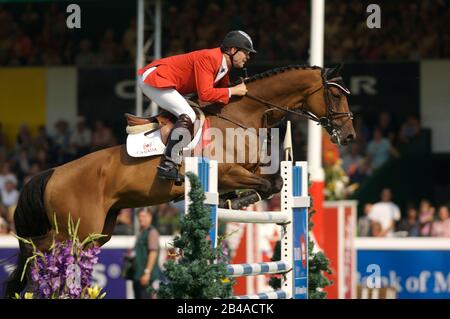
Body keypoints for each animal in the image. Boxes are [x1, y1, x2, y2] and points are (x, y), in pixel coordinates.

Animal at [3, 63, 356, 298]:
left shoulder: (250, 169)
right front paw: (237, 200)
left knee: (38, 254)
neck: (243, 116)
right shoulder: (226, 171)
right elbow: (267, 186)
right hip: (76, 232)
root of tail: (52, 173)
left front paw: (234, 201)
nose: (349, 136)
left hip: (94, 232)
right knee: (45, 258)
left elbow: (274, 184)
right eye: (335, 97)